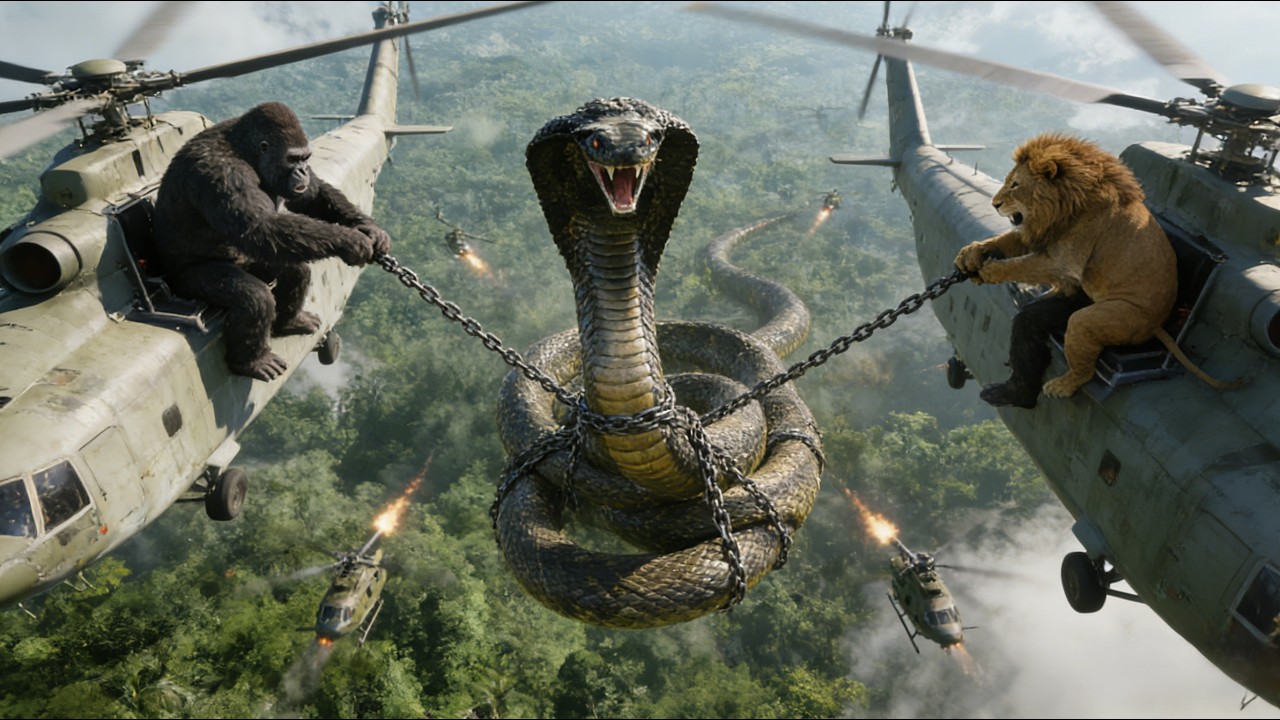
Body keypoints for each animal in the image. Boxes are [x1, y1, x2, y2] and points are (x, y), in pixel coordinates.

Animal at [953, 132, 1237, 406]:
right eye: (1008, 181)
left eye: (1015, 184)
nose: (994, 204)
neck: (1065, 205)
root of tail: (1157, 326)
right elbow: (1008, 243)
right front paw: (972, 254)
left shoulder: (1065, 259)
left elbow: (1025, 264)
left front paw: (990, 272)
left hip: (1101, 320)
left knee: (1085, 366)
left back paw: (1060, 386)